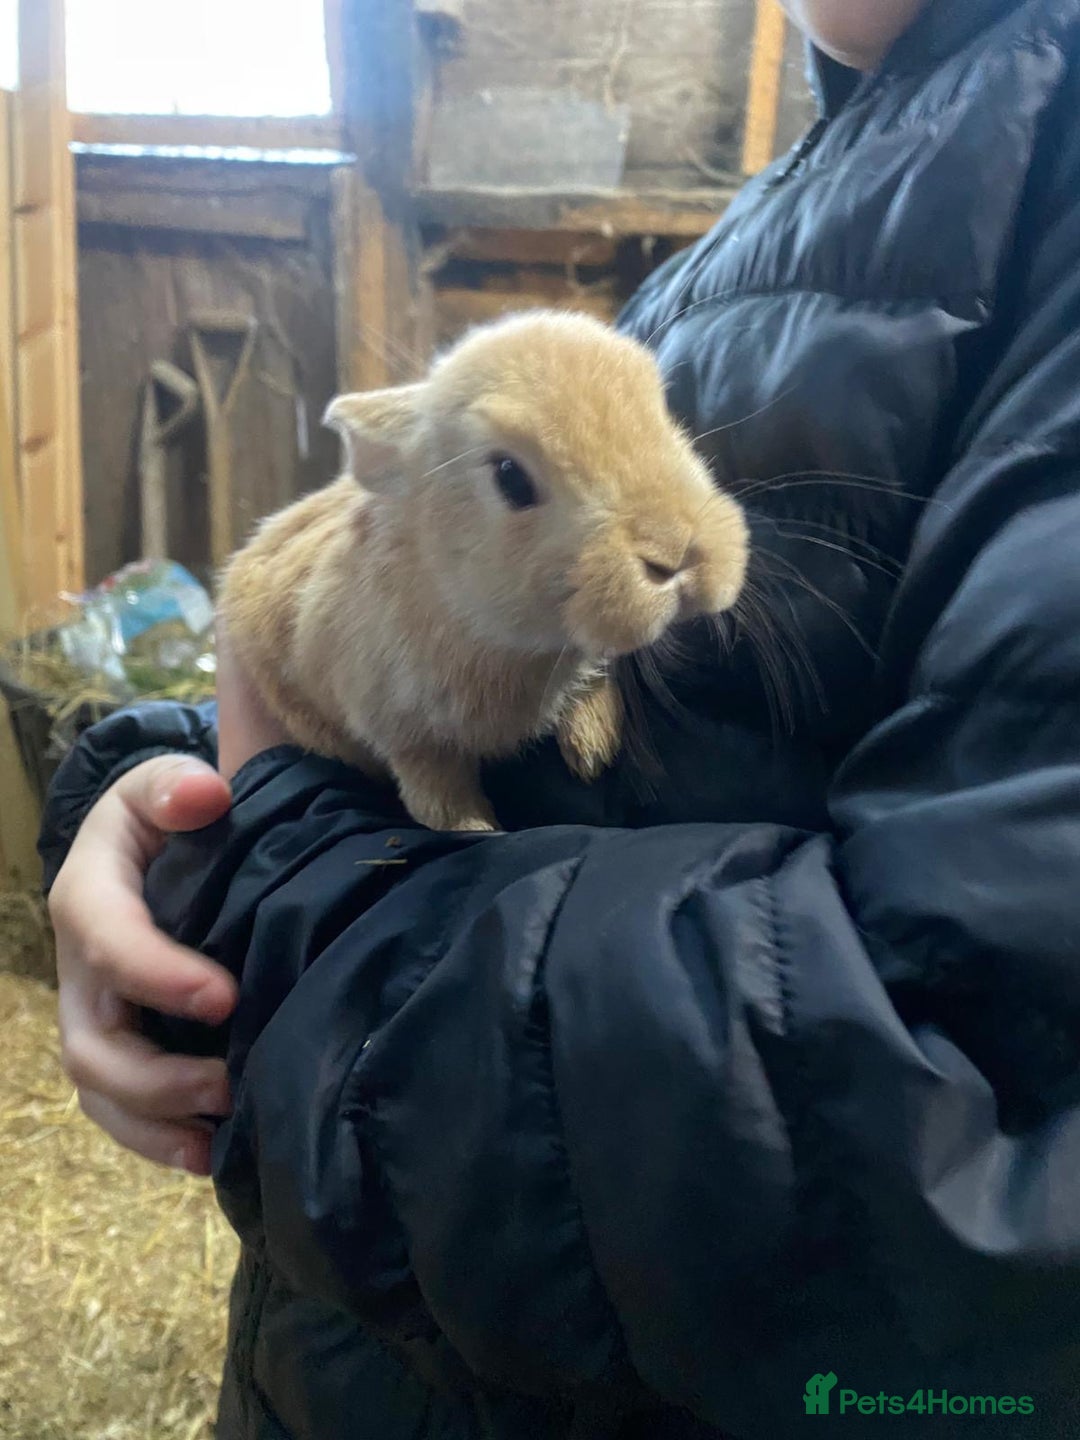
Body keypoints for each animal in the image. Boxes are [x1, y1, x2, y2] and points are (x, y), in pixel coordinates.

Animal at [217, 309, 749, 832]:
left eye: (664, 419)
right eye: (510, 477)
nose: (677, 552)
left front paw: (593, 752)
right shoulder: (404, 732)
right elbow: (435, 791)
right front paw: (475, 829)